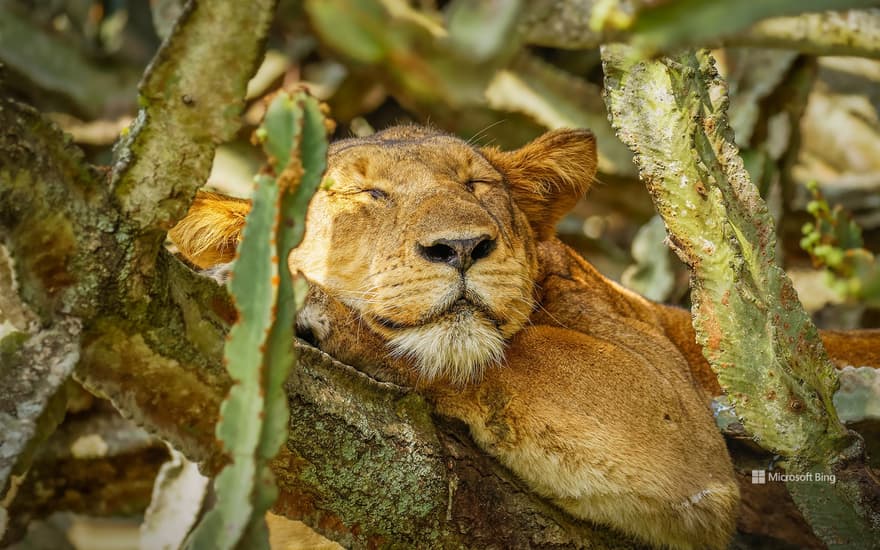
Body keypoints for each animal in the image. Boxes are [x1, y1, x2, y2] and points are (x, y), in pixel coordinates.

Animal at [168, 126, 876, 550]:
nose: (461, 247)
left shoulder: (675, 417)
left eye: (476, 185)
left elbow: (499, 358)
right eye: (367, 194)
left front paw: (304, 303)